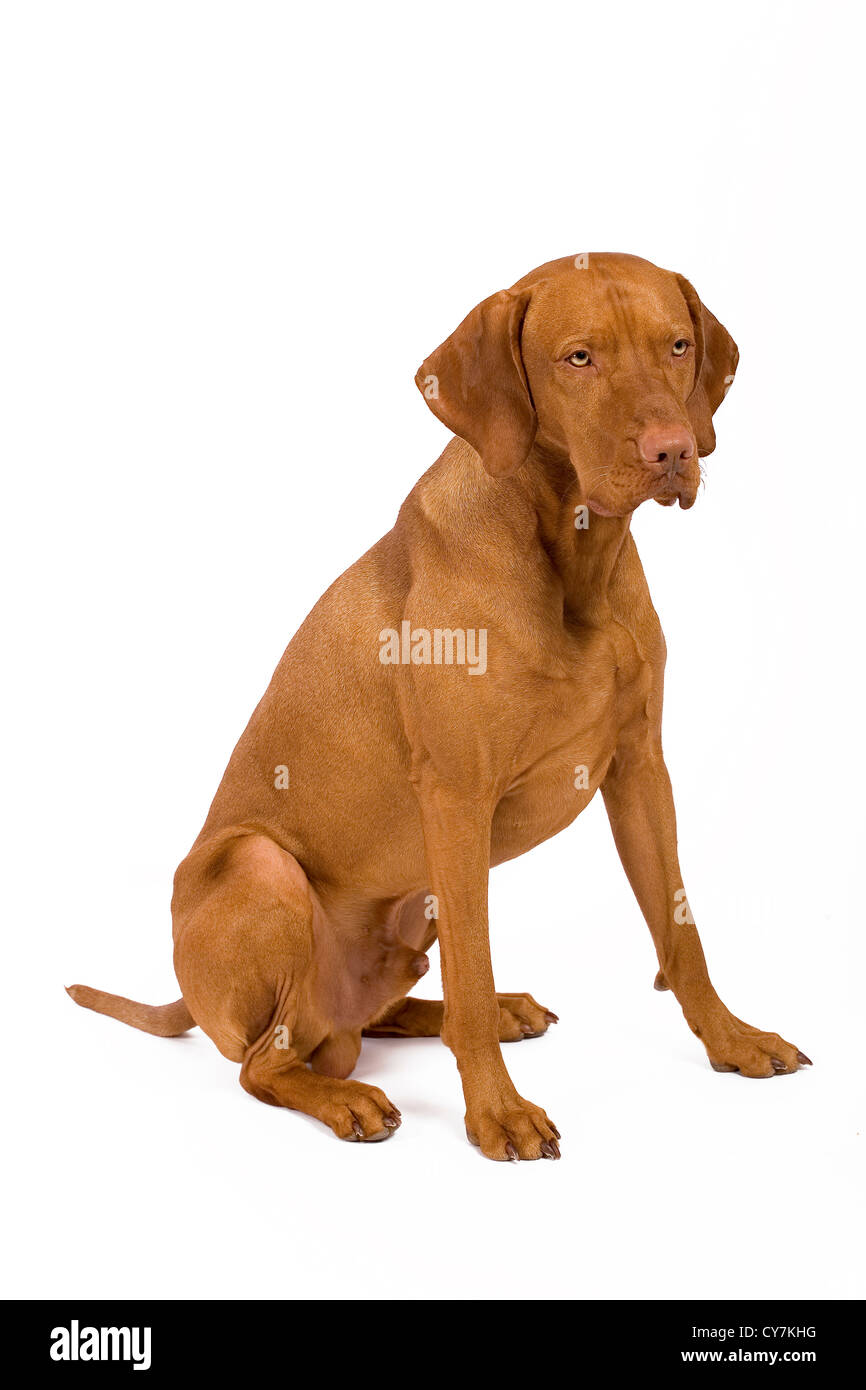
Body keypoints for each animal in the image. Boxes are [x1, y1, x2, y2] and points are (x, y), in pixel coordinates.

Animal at [69, 252, 811, 1162]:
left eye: (677, 345)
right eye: (579, 358)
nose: (672, 449)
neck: (570, 556)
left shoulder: (640, 769)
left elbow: (681, 930)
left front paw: (733, 1040)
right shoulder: (457, 800)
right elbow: (475, 959)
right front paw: (498, 1113)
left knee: (376, 1016)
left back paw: (489, 1011)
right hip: (261, 866)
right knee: (266, 1063)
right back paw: (347, 1097)